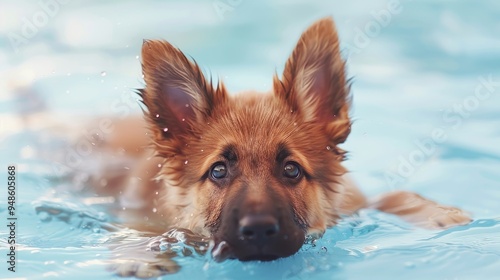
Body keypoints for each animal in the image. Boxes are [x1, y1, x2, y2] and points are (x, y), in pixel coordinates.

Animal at [89, 17, 468, 276]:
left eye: (291, 170)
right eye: (218, 171)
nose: (258, 230)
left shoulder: (352, 202)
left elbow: (391, 197)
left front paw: (439, 212)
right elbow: (141, 233)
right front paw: (140, 255)